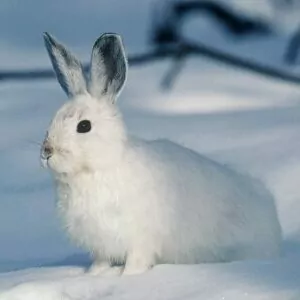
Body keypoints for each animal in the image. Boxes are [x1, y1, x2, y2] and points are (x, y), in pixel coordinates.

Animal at [41, 32, 282, 274]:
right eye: (52, 120)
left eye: (84, 126)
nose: (46, 152)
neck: (99, 166)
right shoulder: (101, 247)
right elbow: (101, 262)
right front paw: (93, 275)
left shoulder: (140, 240)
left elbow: (136, 261)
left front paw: (127, 276)